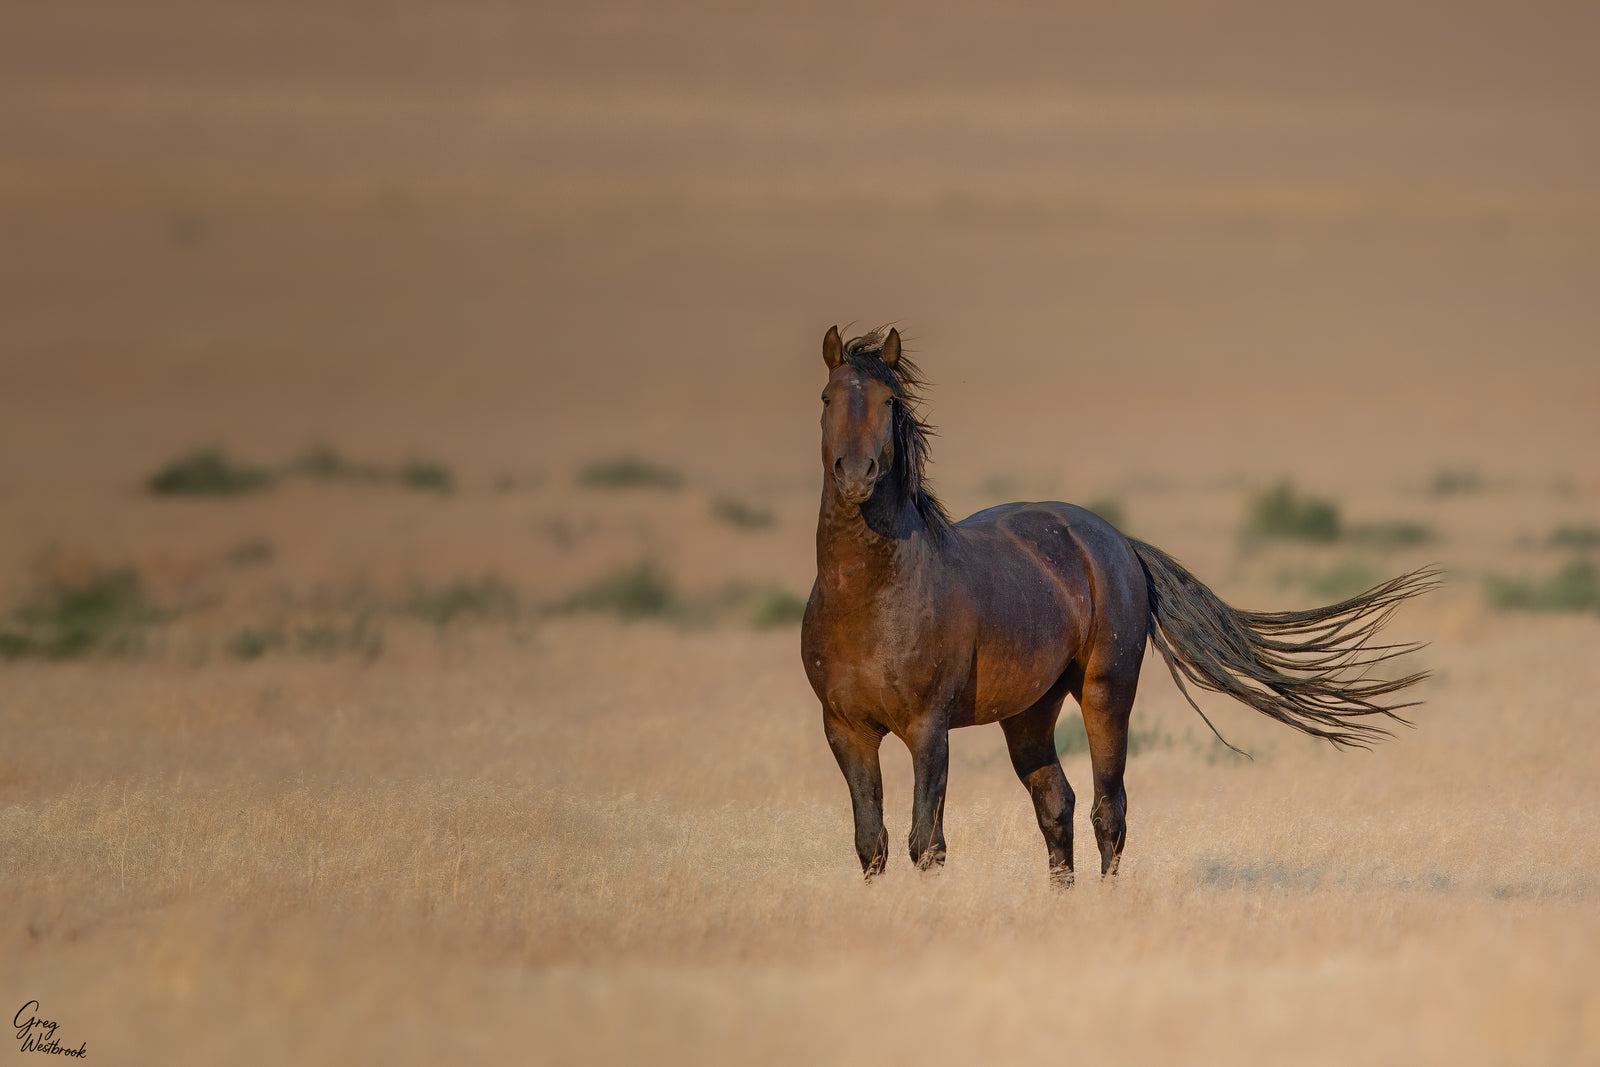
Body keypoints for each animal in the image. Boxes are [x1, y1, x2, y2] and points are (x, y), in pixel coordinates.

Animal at [800, 325, 1437, 886]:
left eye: (888, 400)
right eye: (828, 397)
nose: (856, 474)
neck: (871, 598)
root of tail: (1117, 541)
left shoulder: (929, 728)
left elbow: (925, 842)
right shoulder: (846, 731)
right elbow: (872, 842)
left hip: (1105, 692)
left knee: (1109, 809)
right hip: (1029, 712)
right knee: (1056, 804)